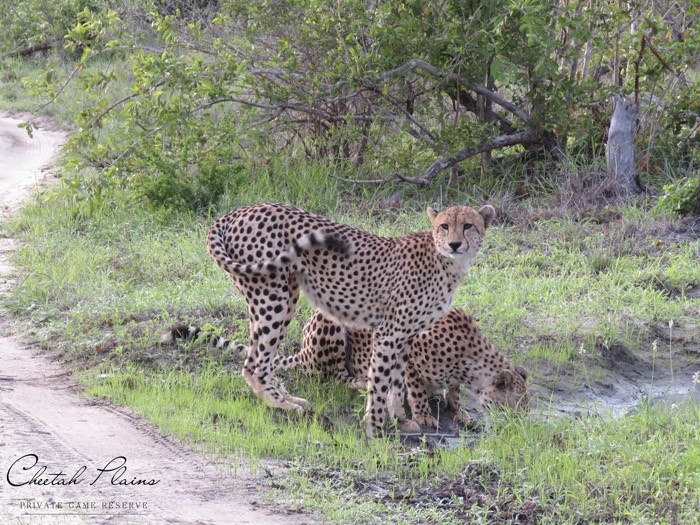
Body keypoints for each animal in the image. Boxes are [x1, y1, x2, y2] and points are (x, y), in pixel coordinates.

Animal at [205, 201, 494, 434]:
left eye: (468, 226)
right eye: (444, 226)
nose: (454, 244)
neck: (446, 261)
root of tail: (241, 210)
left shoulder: (406, 336)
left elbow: (397, 382)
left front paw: (400, 419)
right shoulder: (388, 333)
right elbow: (380, 382)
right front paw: (374, 427)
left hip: (283, 296)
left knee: (261, 357)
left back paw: (287, 397)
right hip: (273, 296)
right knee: (254, 363)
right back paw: (281, 404)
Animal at [276, 308, 528, 426]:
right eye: (515, 404)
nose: (519, 421)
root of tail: (302, 351)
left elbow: (454, 391)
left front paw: (458, 410)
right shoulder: (408, 350)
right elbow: (416, 390)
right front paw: (423, 415)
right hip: (331, 323)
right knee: (336, 376)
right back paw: (362, 381)